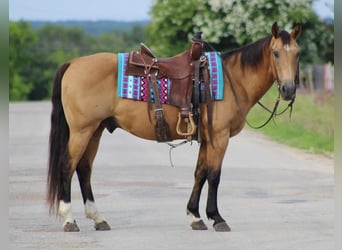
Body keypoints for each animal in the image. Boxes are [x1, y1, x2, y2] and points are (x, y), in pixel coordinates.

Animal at [46, 22, 300, 232]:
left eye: (297, 54)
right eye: (276, 53)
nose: (288, 89)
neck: (232, 80)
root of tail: (73, 64)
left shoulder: (207, 139)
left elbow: (200, 173)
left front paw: (195, 216)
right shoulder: (219, 138)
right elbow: (214, 176)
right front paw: (216, 218)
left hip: (95, 131)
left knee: (84, 169)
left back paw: (98, 218)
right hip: (82, 131)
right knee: (67, 166)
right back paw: (69, 219)